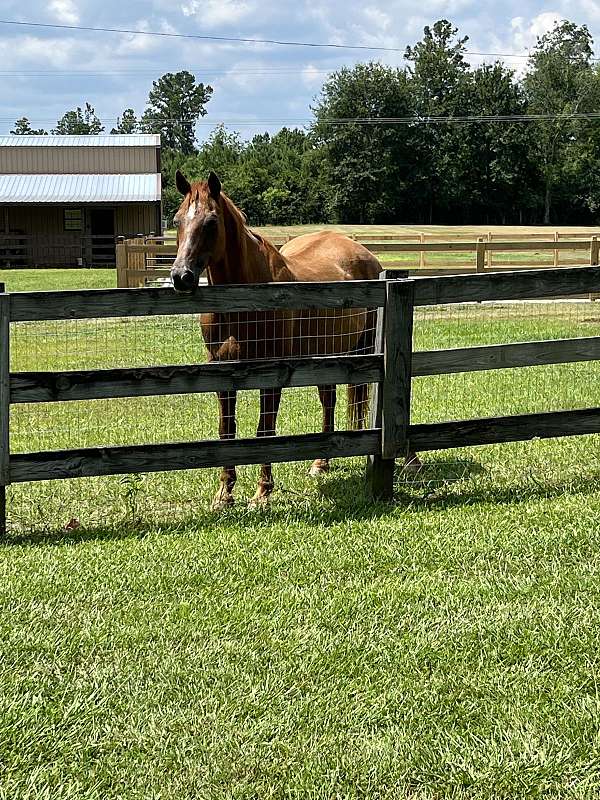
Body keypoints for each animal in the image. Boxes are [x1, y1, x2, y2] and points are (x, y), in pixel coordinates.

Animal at [170, 170, 408, 506]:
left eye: (211, 222)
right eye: (177, 220)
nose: (181, 277)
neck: (243, 299)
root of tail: (364, 254)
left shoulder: (271, 372)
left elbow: (265, 430)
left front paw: (262, 492)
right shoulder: (220, 370)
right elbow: (226, 430)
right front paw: (224, 494)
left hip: (361, 350)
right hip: (324, 355)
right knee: (328, 399)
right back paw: (321, 463)